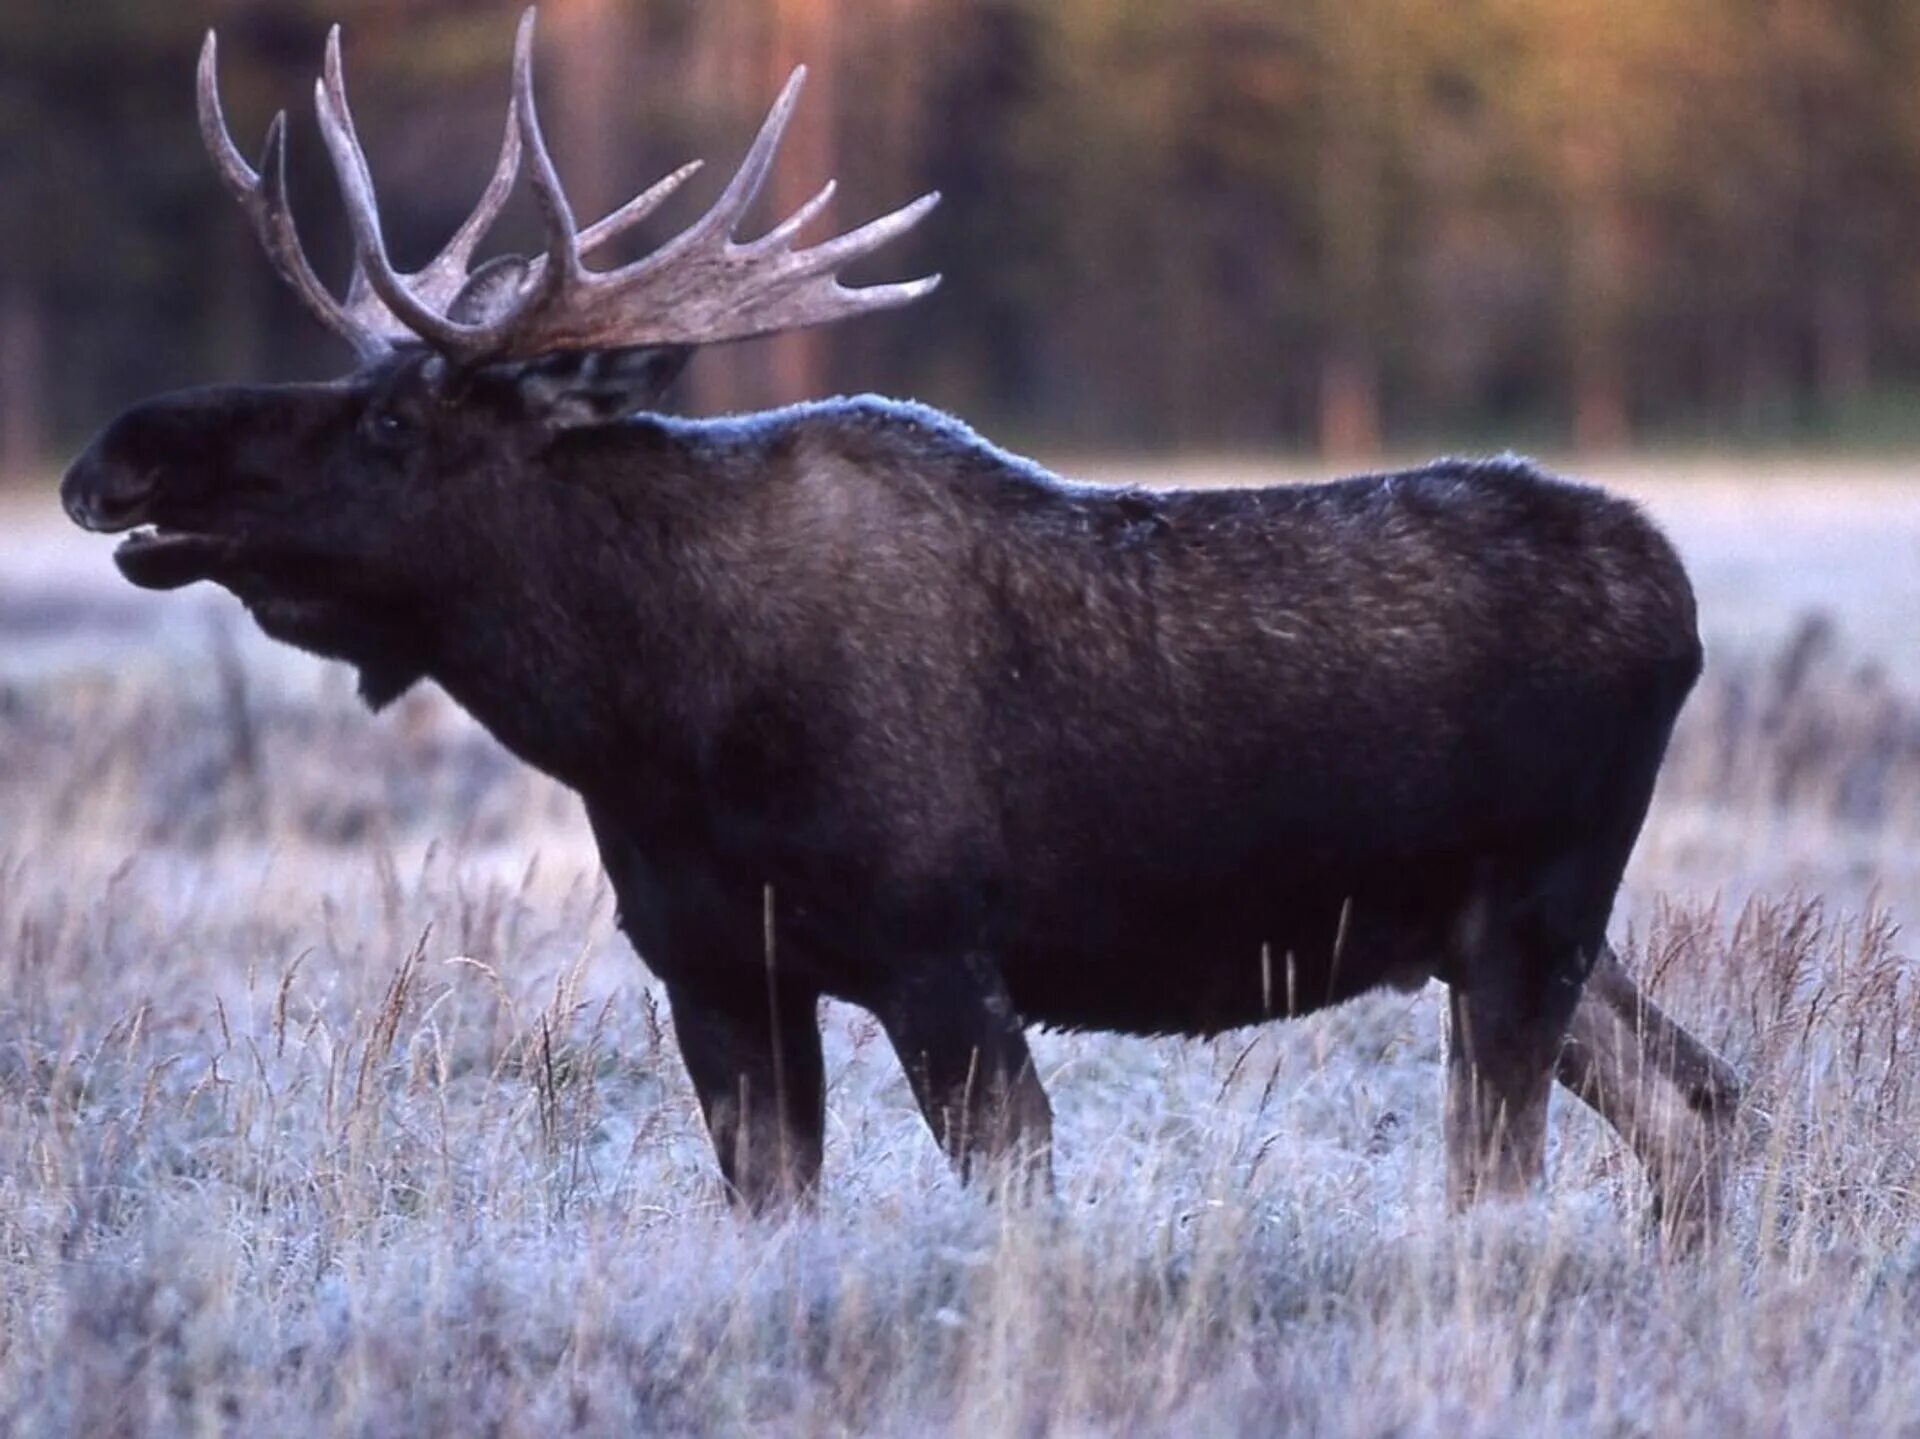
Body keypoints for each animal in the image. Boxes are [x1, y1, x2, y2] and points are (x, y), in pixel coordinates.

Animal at [60, 11, 1743, 1237]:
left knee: (1521, 1170)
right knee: (1702, 1098)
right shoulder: (718, 972)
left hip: (1530, 914)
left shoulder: (940, 954)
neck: (644, 718)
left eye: (395, 419)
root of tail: (1679, 597)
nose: (117, 454)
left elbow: (1016, 1203)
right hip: (1497, 935)